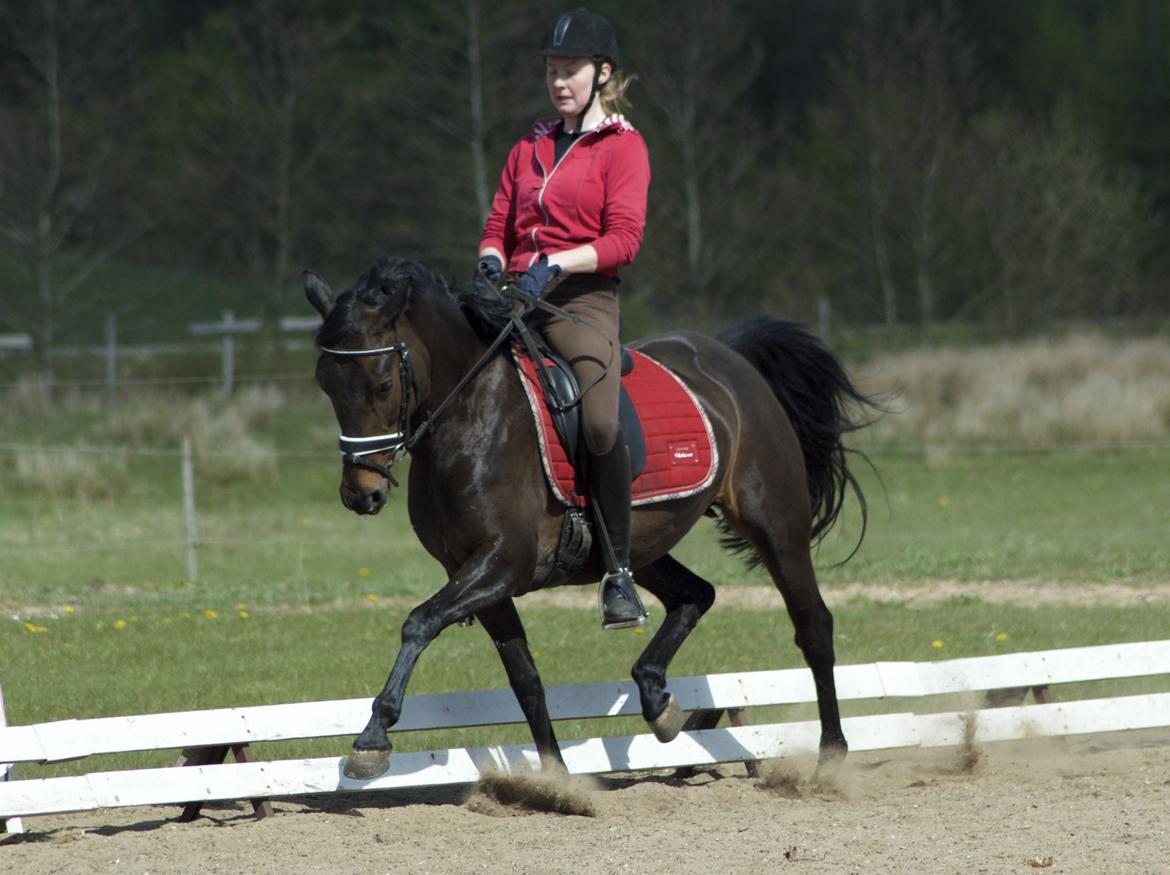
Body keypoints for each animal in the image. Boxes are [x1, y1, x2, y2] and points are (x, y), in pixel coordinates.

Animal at [304, 256, 879, 781]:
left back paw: (832, 756)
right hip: (639, 547)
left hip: (776, 525)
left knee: (813, 626)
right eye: (325, 383)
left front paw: (373, 738)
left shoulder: (504, 563)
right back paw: (657, 699)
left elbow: (418, 622)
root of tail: (730, 357)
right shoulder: (473, 574)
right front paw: (557, 782)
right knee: (695, 595)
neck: (471, 417)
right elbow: (525, 678)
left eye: (382, 384)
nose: (362, 494)